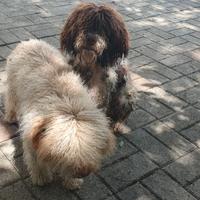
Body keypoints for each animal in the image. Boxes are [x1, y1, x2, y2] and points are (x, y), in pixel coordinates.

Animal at [3, 39, 115, 190]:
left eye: (91, 148)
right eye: (65, 152)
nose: (83, 172)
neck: (67, 102)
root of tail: (29, 41)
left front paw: (72, 182)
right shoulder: (31, 138)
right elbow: (36, 162)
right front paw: (42, 178)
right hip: (13, 84)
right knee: (10, 99)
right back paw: (10, 116)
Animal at [59, 2, 134, 133]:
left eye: (104, 28)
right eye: (83, 23)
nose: (90, 38)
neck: (89, 66)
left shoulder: (100, 92)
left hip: (123, 95)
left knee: (125, 111)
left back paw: (118, 124)